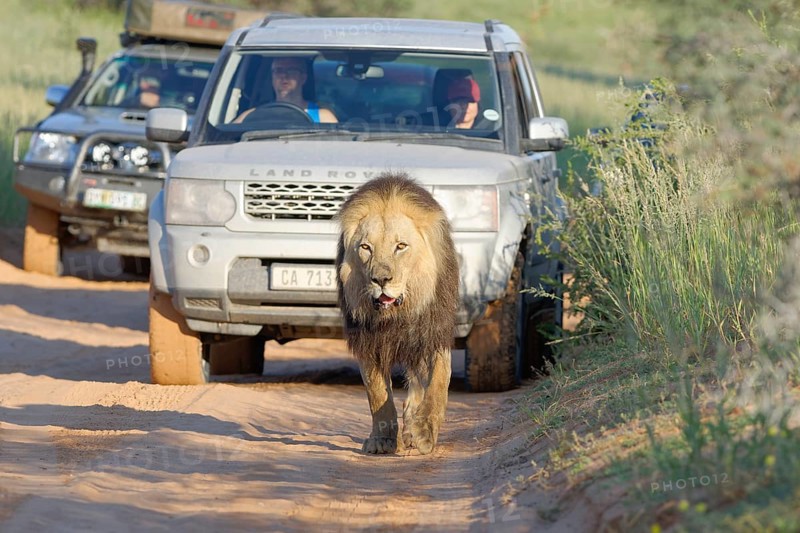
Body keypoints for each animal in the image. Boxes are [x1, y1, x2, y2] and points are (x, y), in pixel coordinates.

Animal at [335, 173, 460, 455]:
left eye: (401, 246)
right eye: (366, 247)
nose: (381, 279)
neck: (397, 315)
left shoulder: (433, 332)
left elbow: (438, 382)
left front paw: (424, 431)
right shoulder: (368, 341)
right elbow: (377, 392)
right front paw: (382, 439)